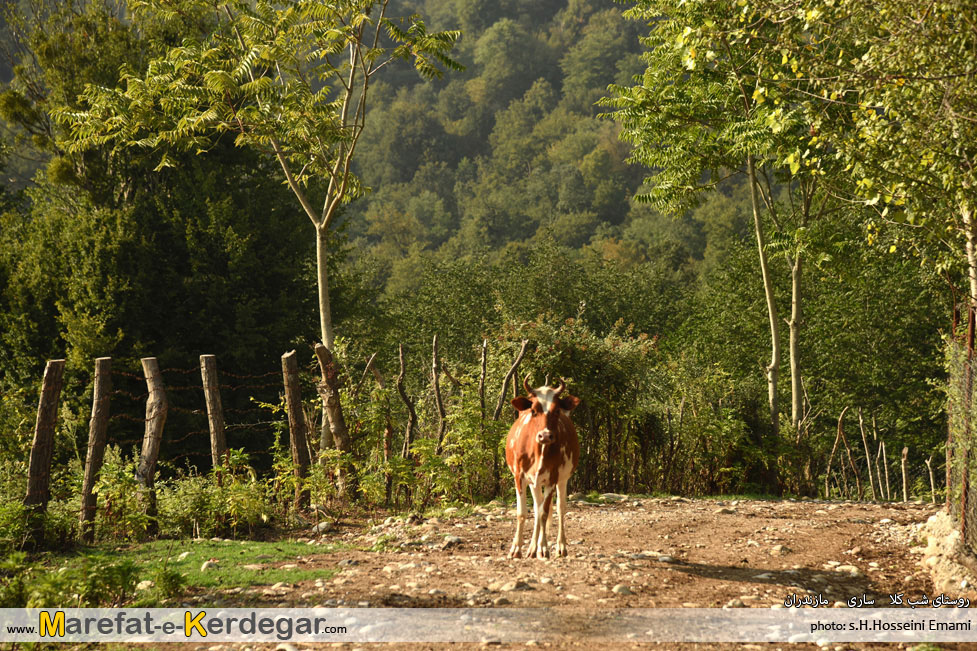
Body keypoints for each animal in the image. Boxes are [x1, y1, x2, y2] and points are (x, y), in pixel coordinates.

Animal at [508, 376, 576, 560]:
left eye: (557, 411)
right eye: (533, 411)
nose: (545, 435)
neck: (539, 451)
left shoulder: (552, 478)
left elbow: (545, 513)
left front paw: (543, 548)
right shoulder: (519, 476)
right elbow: (522, 513)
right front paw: (516, 548)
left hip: (562, 480)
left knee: (559, 509)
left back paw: (560, 547)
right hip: (534, 483)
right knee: (537, 509)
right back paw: (532, 548)